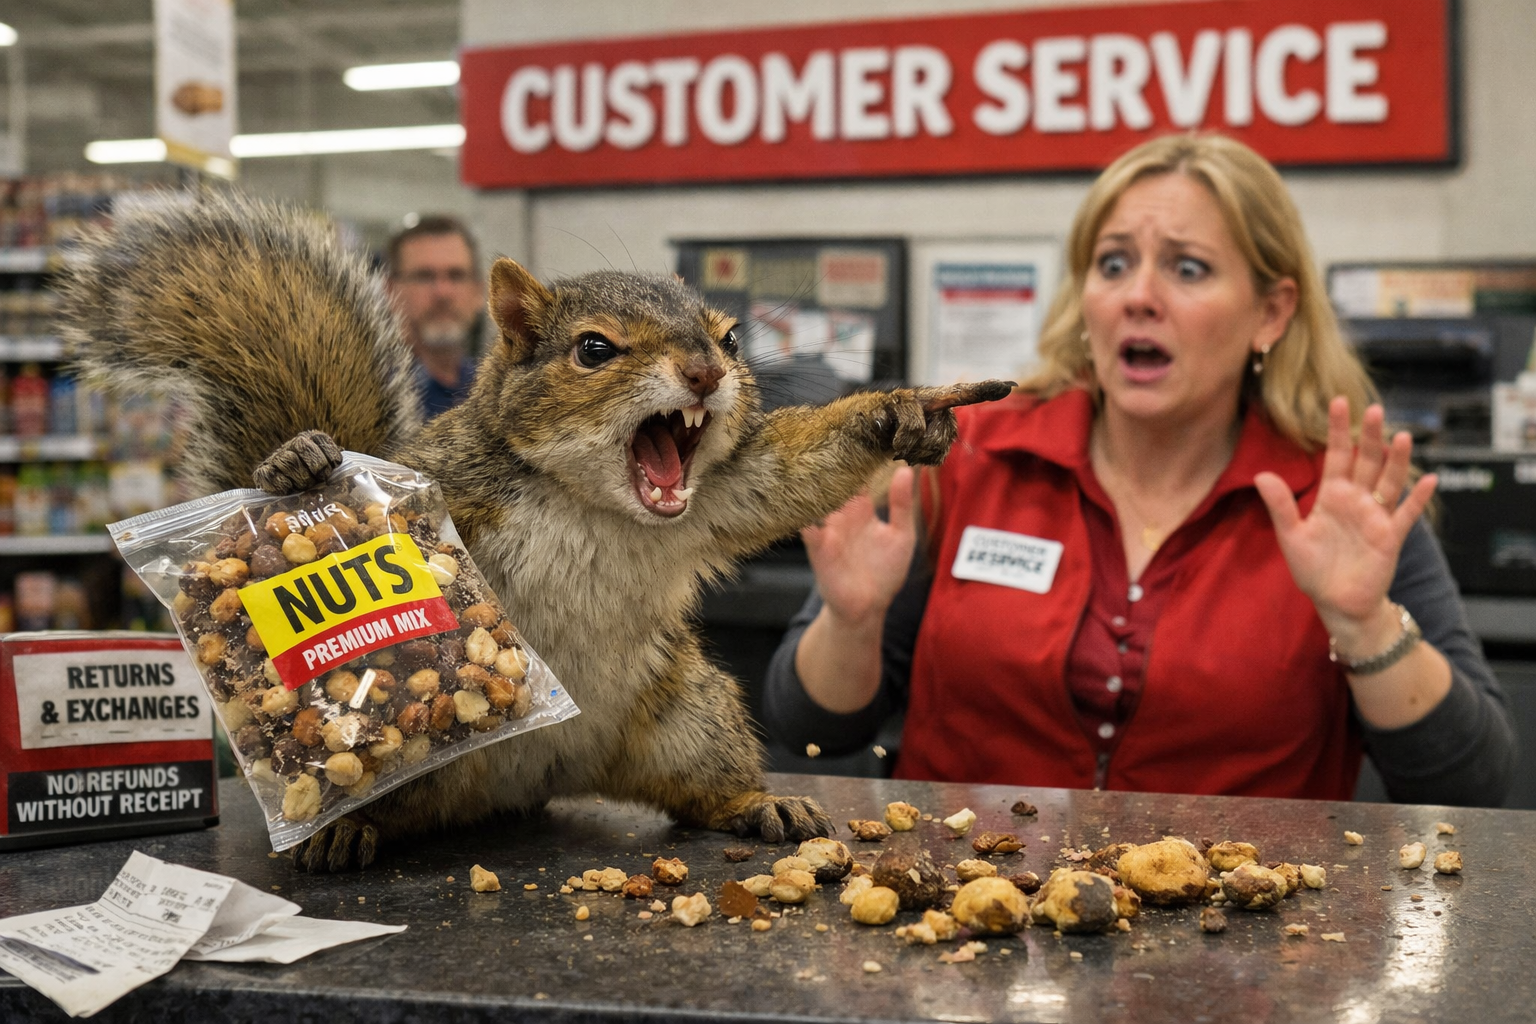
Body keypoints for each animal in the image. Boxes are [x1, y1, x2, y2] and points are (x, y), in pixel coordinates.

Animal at [62, 194, 1010, 871]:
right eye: (593, 350)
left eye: (733, 337)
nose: (707, 372)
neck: (590, 499)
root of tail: (533, 777)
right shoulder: (446, 485)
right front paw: (297, 466)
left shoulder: (725, 492)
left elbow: (792, 474)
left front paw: (905, 413)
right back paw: (344, 832)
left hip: (689, 717)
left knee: (695, 787)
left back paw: (755, 803)